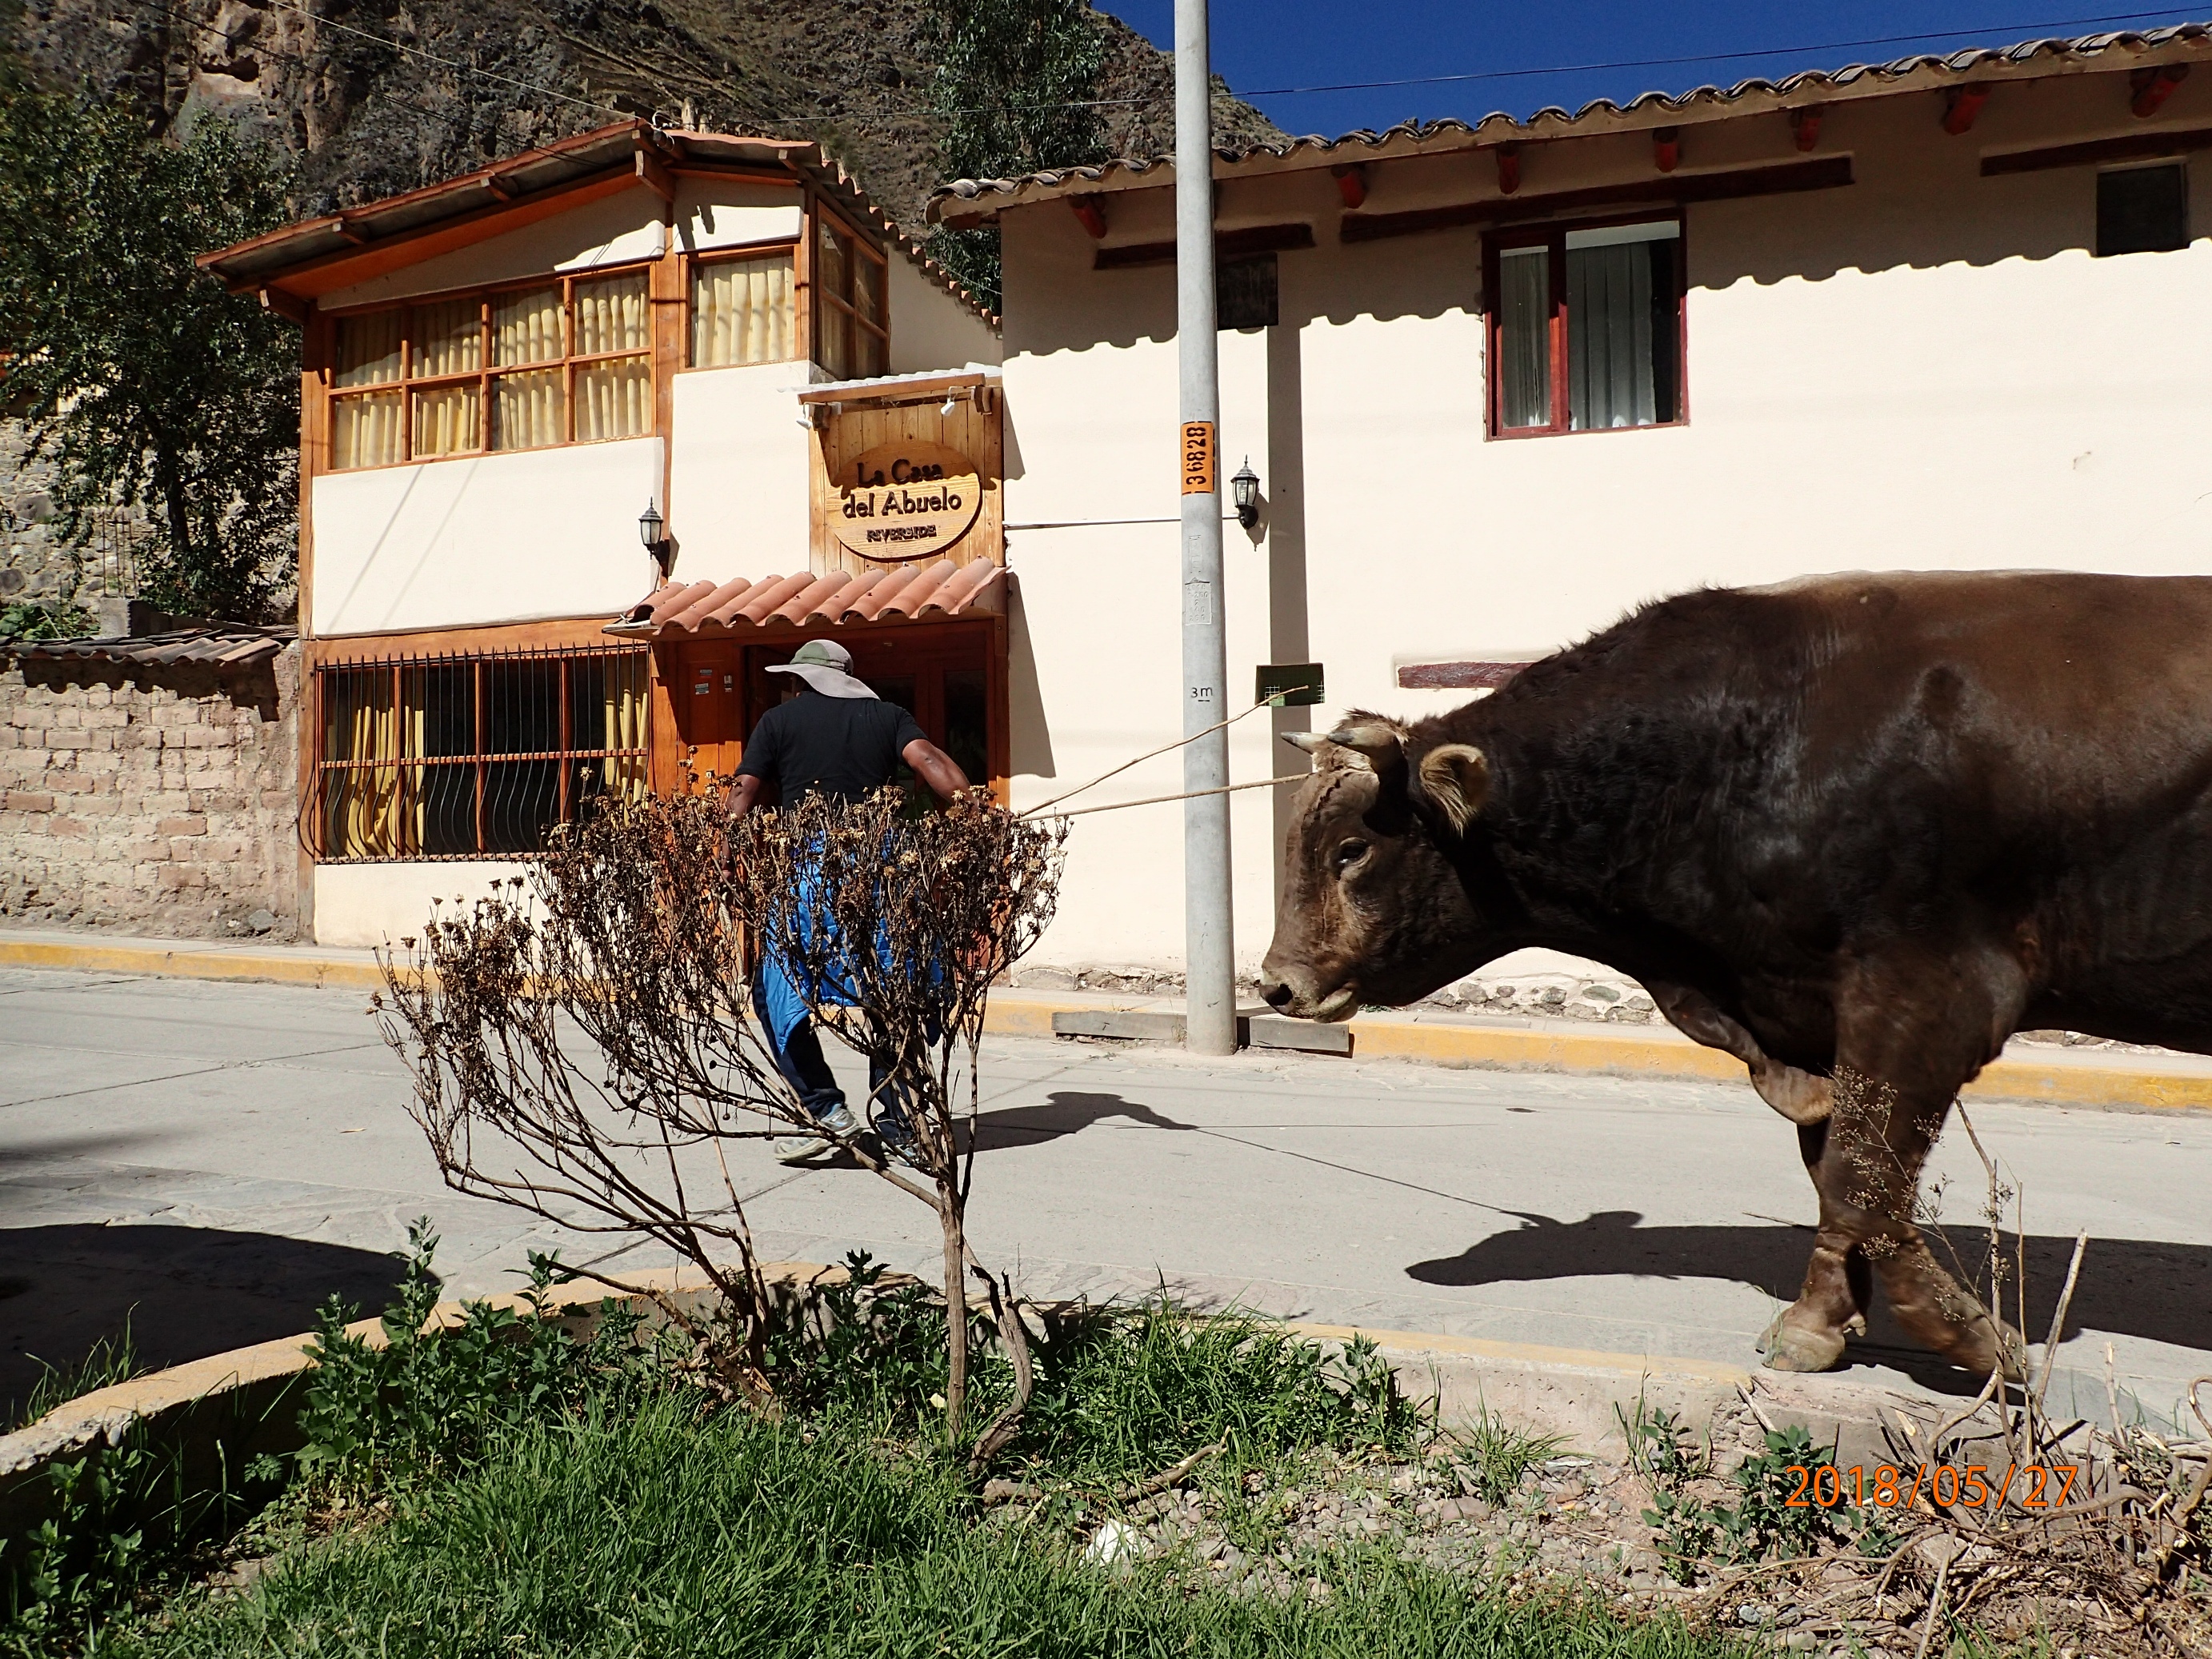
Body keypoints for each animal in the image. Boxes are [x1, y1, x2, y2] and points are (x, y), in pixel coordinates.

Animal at [1265, 570, 2212, 1380]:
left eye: (1351, 849)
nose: (1277, 985)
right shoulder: (1812, 1017)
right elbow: (1836, 1172)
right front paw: (1825, 1320)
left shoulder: (1925, 993)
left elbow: (1860, 1174)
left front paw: (1971, 1339)